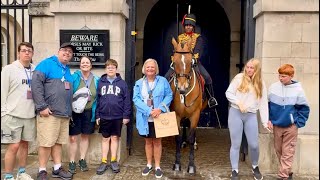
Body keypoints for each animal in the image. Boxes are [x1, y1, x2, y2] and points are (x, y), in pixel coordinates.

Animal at [170, 37, 208, 174]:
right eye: (174, 62)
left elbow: (191, 137)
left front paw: (191, 166)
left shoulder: (195, 114)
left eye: (190, 62)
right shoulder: (176, 114)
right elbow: (177, 137)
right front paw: (177, 164)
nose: (182, 88)